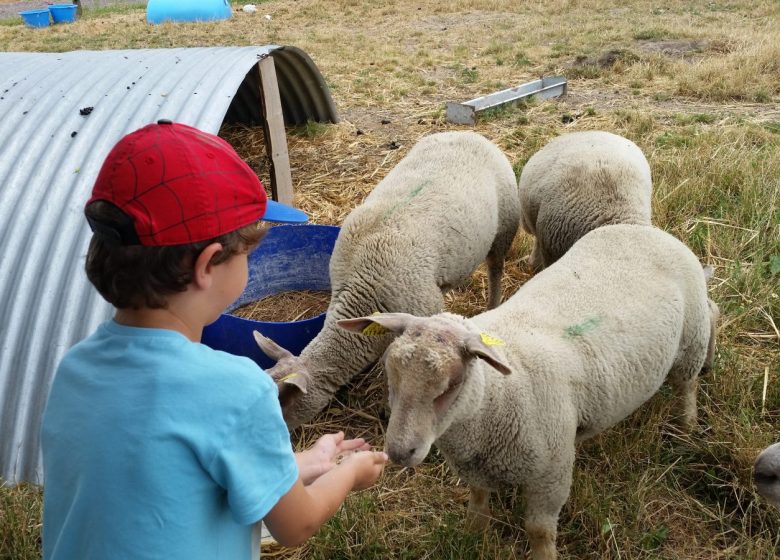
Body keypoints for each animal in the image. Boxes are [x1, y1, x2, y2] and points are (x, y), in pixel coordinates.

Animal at [258, 130, 524, 428]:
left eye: (283, 402)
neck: (362, 286)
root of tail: (471, 134)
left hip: (504, 228)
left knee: (496, 269)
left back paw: (493, 303)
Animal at [338, 223, 716, 560]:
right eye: (391, 375)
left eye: (452, 384)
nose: (400, 452)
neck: (494, 396)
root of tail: (654, 233)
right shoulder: (476, 466)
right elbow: (477, 504)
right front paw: (473, 536)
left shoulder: (551, 475)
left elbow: (538, 531)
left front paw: (541, 555)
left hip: (690, 338)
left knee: (690, 374)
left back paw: (688, 421)